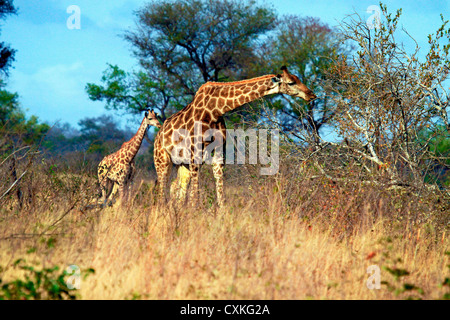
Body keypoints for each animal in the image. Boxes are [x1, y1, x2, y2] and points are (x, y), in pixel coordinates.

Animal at [153, 66, 314, 209]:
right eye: (291, 82)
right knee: (162, 191)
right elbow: (194, 196)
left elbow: (220, 194)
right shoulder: (195, 155)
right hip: (162, 160)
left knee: (176, 188)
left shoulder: (218, 153)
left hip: (182, 163)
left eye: (298, 78)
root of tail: (158, 135)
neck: (215, 110)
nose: (311, 94)